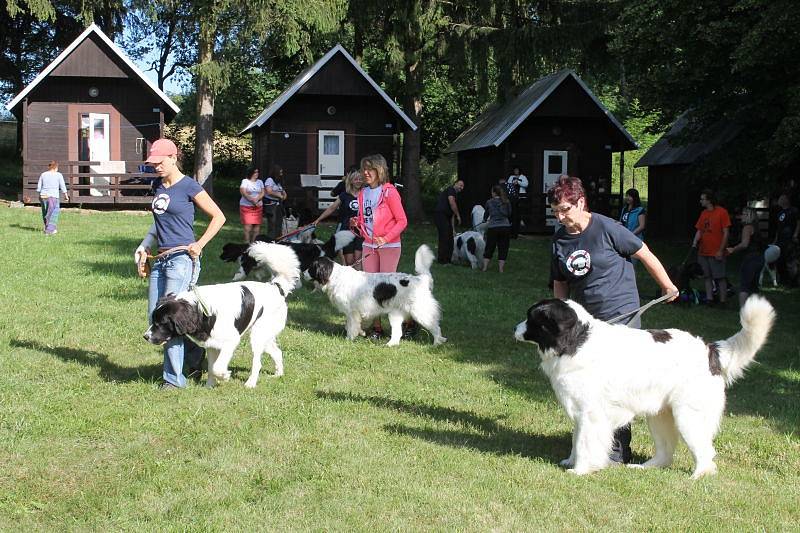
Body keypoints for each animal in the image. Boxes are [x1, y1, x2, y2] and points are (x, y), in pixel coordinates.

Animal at [145, 242, 302, 386]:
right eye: (153, 321)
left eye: (161, 323)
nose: (145, 337)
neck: (201, 309)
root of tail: (276, 287)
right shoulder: (211, 344)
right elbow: (211, 367)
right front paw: (209, 386)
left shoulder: (231, 341)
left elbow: (217, 367)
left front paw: (225, 376)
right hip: (264, 335)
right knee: (277, 352)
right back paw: (278, 374)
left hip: (258, 335)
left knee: (257, 362)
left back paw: (251, 383)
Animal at [220, 232, 354, 282]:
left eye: (225, 251)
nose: (219, 257)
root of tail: (323, 247)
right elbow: (260, 273)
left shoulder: (247, 264)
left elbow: (240, 273)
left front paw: (233, 280)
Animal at [306, 244, 446, 344]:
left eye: (312, 267)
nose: (303, 273)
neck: (335, 276)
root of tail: (421, 279)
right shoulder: (354, 312)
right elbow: (354, 325)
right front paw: (361, 333)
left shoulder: (352, 311)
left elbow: (351, 326)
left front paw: (349, 339)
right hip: (395, 313)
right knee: (397, 333)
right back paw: (390, 344)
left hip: (420, 311)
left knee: (436, 326)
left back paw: (437, 343)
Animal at [516, 296, 772, 478]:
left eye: (531, 318)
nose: (515, 328)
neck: (576, 340)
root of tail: (710, 350)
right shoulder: (581, 411)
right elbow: (576, 439)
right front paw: (572, 461)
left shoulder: (591, 413)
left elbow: (584, 442)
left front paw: (580, 470)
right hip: (660, 416)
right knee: (666, 452)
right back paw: (645, 468)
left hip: (688, 416)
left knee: (705, 451)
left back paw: (697, 476)